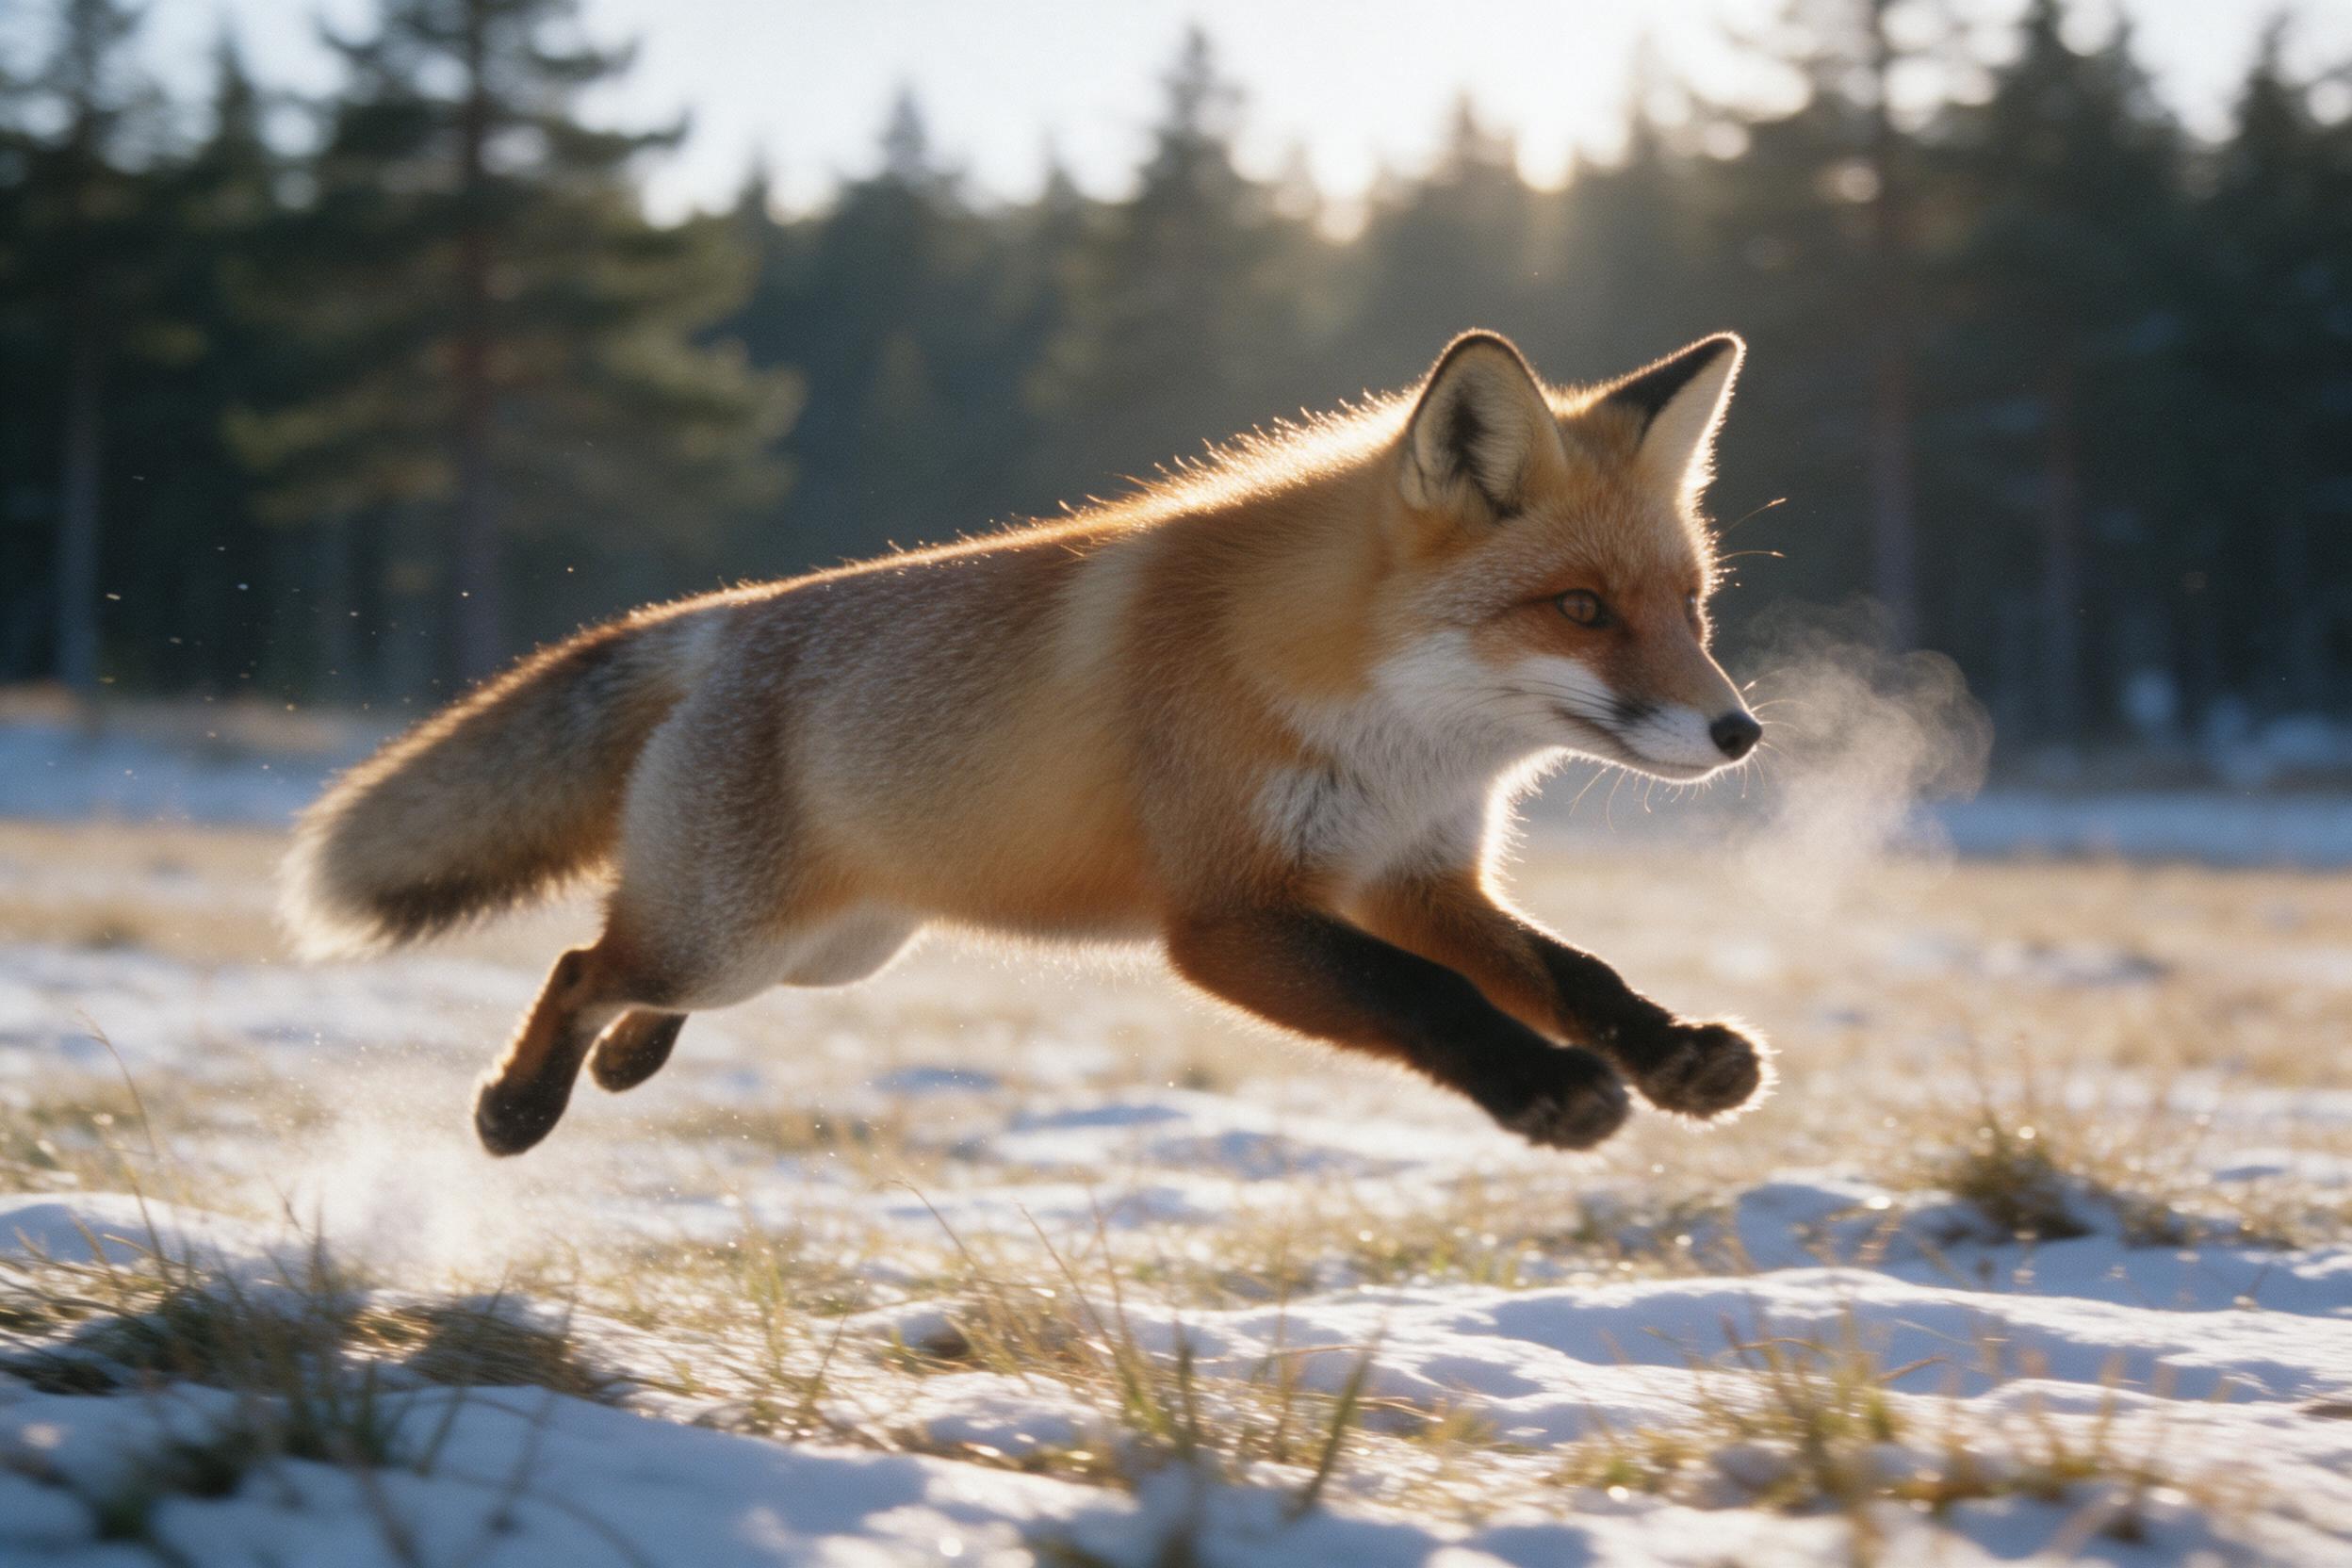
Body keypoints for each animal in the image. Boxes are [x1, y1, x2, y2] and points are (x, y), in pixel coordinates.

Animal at [282, 329, 1773, 1159]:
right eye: (1582, 610)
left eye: (1692, 609)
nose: (1739, 729)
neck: (1389, 730)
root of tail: (732, 614)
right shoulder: (1230, 914)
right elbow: (1430, 1002)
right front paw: (1549, 1091)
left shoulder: (1412, 876)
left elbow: (1572, 972)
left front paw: (1673, 1053)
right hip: (738, 940)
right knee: (582, 961)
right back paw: (519, 1107)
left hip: (827, 953)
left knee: (619, 975)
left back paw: (623, 1063)